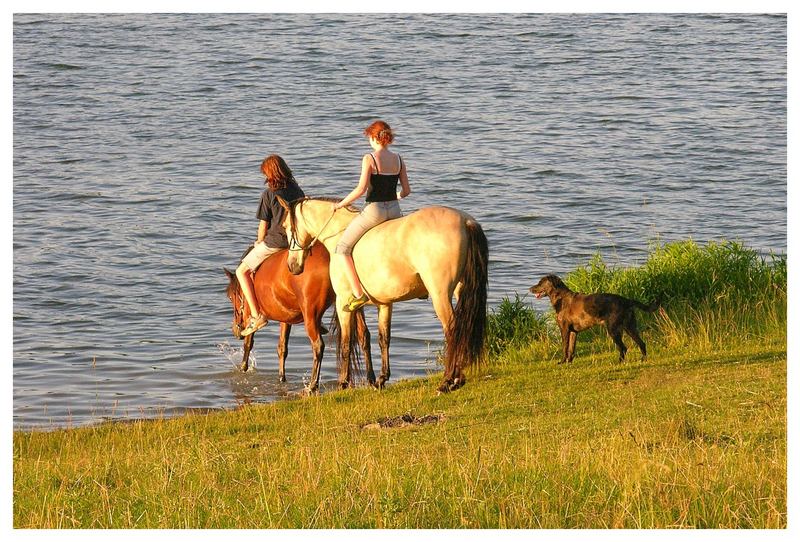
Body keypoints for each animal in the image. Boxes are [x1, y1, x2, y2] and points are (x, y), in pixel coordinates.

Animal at [223, 244, 370, 394]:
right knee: (362, 336)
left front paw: (243, 369)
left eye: (231, 297)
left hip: (311, 314)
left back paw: (313, 385)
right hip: (352, 306)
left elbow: (248, 344)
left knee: (318, 345)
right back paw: (370, 379)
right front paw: (281, 379)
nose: (236, 330)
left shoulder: (249, 316)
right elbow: (282, 348)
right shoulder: (285, 318)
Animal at [282, 198, 488, 394]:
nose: (292, 266)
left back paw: (447, 381)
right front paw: (381, 379)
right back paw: (457, 378)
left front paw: (343, 383)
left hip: (440, 295)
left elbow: (346, 343)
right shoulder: (384, 304)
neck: (339, 232)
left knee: (452, 331)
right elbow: (383, 339)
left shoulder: (342, 304)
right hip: (460, 291)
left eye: (285, 226)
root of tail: (465, 221)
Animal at [528, 276, 660, 366]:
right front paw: (569, 362)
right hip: (630, 327)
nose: (529, 288)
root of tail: (626, 300)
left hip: (613, 329)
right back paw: (643, 360)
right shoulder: (573, 332)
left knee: (623, 347)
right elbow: (571, 348)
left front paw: (562, 361)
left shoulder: (564, 329)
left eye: (540, 283)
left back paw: (619, 362)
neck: (561, 298)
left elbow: (565, 347)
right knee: (641, 343)